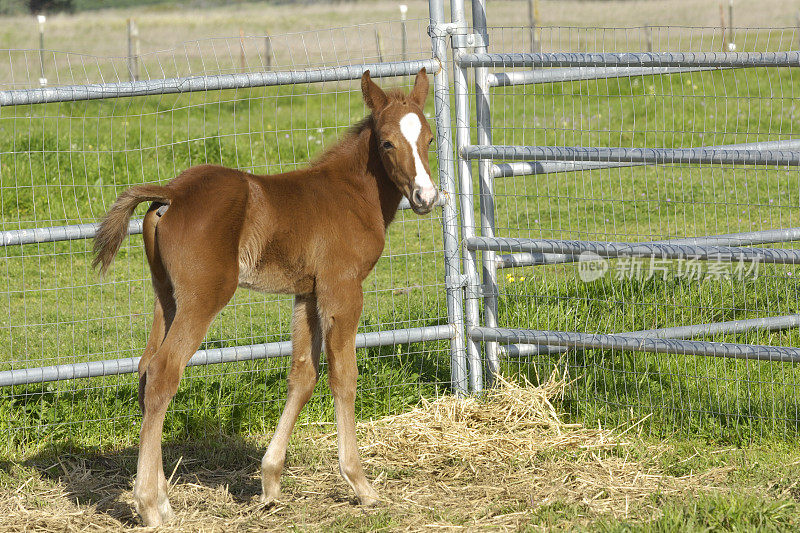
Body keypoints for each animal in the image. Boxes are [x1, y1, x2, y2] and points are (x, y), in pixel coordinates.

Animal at [92, 69, 438, 524]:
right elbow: (343, 378)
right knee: (165, 372)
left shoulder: (306, 294)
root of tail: (173, 192)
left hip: (166, 297)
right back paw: (149, 504)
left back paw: (163, 497)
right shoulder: (342, 290)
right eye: (386, 143)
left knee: (147, 369)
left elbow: (303, 376)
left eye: (430, 138)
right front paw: (360, 484)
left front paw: (271, 482)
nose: (426, 197)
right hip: (203, 298)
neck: (349, 194)